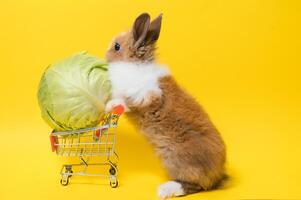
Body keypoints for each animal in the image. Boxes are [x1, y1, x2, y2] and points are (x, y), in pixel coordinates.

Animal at [105, 13, 225, 199]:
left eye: (117, 46)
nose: (105, 56)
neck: (135, 65)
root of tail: (218, 174)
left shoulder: (148, 94)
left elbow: (128, 98)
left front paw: (111, 104)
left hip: (176, 161)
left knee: (196, 186)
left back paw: (165, 190)